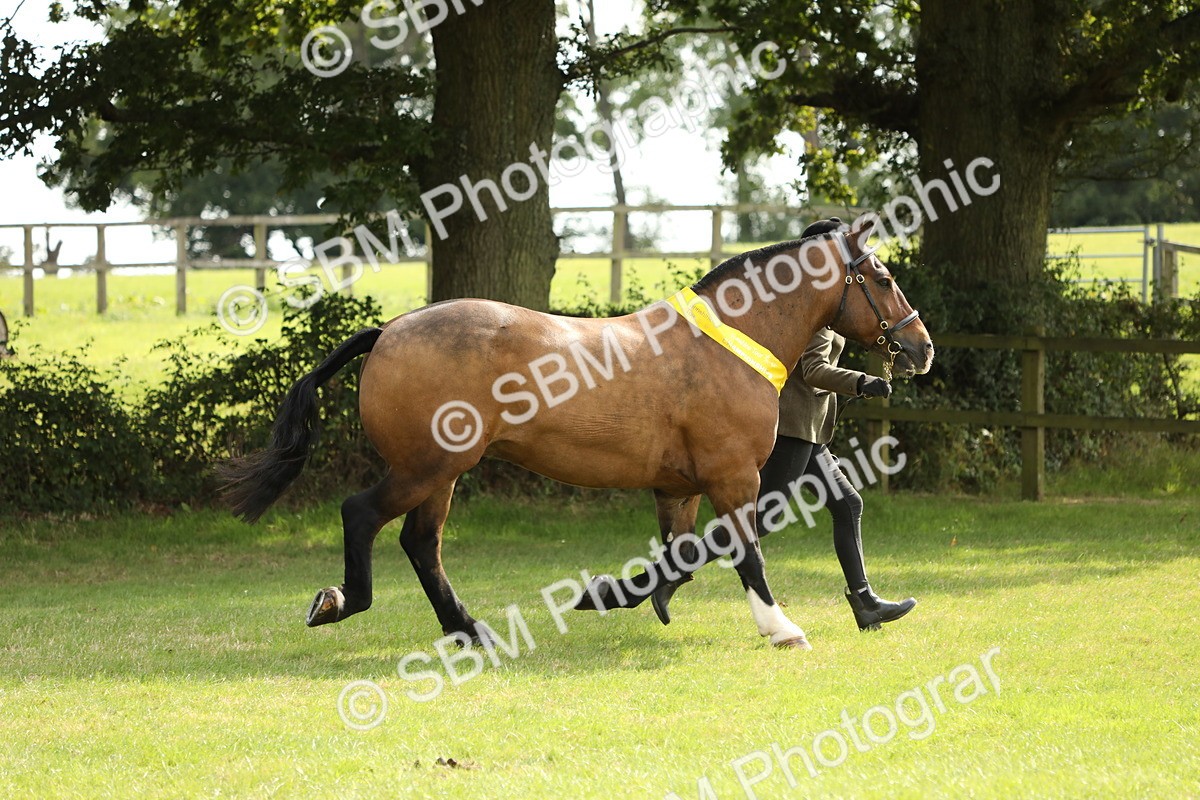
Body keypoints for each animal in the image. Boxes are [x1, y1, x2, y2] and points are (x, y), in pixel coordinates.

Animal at [219, 222, 934, 650]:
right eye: (885, 279)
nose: (921, 347)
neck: (728, 344)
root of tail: (389, 330)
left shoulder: (679, 488)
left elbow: (681, 555)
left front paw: (617, 596)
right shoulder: (734, 477)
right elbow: (746, 555)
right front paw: (781, 627)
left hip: (441, 474)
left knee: (421, 544)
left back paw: (471, 631)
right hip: (425, 466)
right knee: (361, 514)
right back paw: (339, 602)